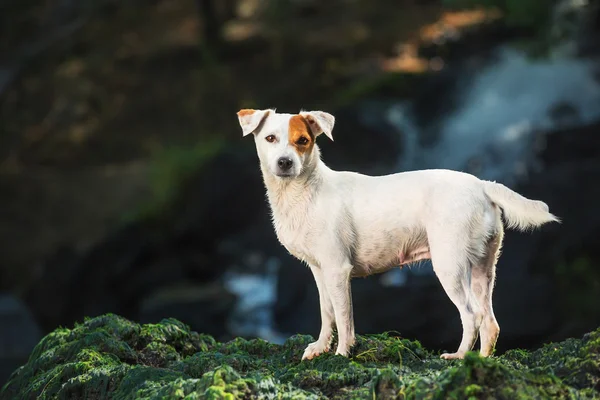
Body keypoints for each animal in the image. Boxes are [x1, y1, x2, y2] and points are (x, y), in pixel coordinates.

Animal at [237, 108, 560, 360]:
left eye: (302, 141)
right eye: (270, 139)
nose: (285, 162)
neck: (304, 193)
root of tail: (482, 185)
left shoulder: (337, 270)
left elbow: (344, 318)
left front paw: (342, 353)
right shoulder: (319, 270)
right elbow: (326, 312)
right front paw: (320, 348)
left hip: (450, 267)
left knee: (472, 316)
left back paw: (458, 356)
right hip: (484, 268)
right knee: (490, 322)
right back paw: (479, 361)